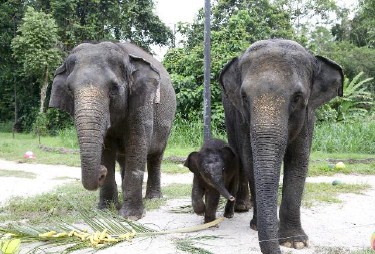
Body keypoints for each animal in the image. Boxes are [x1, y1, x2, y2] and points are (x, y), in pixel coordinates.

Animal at [49, 41, 177, 220]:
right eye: (69, 90)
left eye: (114, 88)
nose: (101, 172)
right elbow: (107, 147)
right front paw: (105, 210)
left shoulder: (142, 101)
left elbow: (137, 142)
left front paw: (131, 216)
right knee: (124, 158)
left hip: (167, 122)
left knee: (156, 155)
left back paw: (153, 198)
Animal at [219, 38, 346, 253]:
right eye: (244, 97)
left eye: (297, 97)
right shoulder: (242, 119)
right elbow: (250, 159)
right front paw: (257, 227)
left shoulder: (308, 116)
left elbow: (299, 160)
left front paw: (294, 242)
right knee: (239, 158)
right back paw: (243, 207)